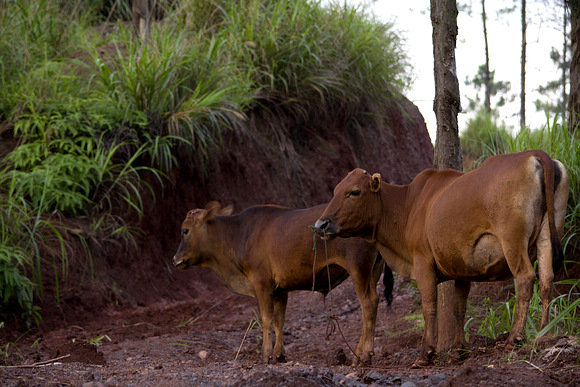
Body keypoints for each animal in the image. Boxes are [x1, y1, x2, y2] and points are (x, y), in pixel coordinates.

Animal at [173, 203, 390, 366]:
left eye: (185, 230)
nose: (175, 260)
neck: (239, 234)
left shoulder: (261, 283)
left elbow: (267, 319)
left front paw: (266, 355)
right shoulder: (279, 289)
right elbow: (279, 320)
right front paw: (279, 354)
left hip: (358, 269)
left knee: (368, 304)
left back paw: (362, 356)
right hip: (373, 270)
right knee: (373, 302)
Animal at [314, 151, 568, 366]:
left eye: (355, 191)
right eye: (335, 191)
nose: (320, 224)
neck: (407, 207)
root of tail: (533, 154)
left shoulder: (422, 261)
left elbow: (430, 305)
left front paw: (426, 353)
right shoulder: (463, 267)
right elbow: (459, 307)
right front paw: (458, 350)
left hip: (512, 241)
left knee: (525, 278)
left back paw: (515, 337)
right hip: (547, 235)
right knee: (546, 280)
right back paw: (544, 332)